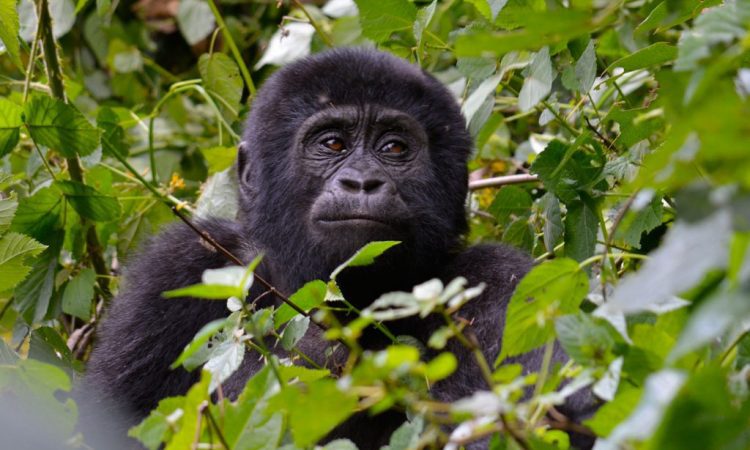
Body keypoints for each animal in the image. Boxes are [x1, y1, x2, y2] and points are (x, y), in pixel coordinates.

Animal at [83, 48, 595, 449]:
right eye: (332, 143)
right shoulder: (177, 270)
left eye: (394, 148)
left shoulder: (501, 280)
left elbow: (556, 418)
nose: (362, 182)